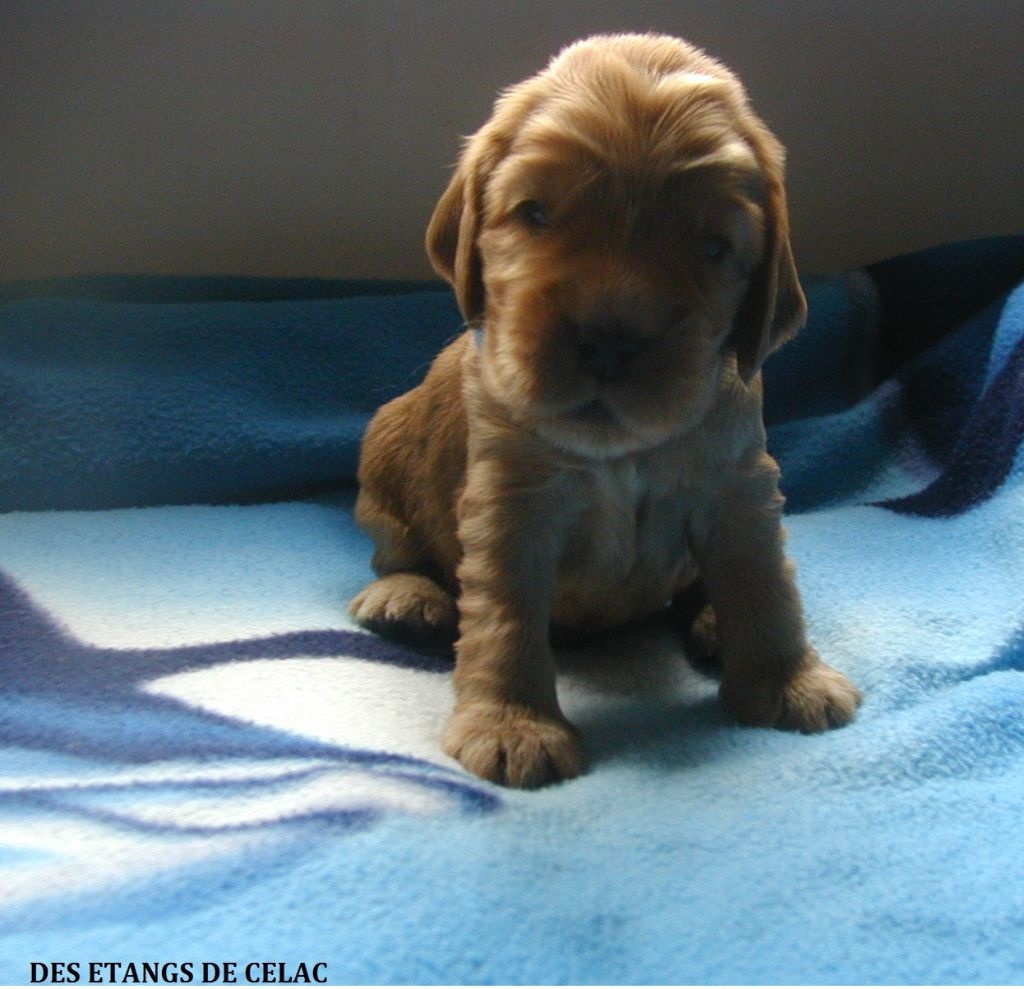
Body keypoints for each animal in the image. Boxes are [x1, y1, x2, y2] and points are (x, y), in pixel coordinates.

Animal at [348, 33, 860, 790]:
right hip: (383, 453)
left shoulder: (739, 488)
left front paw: (786, 682)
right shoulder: (511, 502)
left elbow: (764, 585)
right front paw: (513, 727)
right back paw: (408, 601)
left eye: (715, 247)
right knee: (399, 551)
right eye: (534, 213)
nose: (609, 341)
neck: (623, 451)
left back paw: (712, 621)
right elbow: (505, 617)